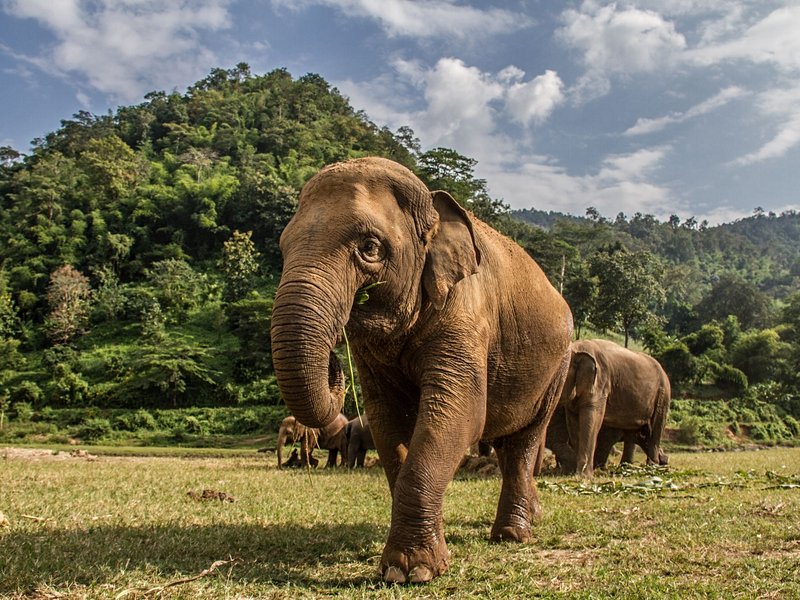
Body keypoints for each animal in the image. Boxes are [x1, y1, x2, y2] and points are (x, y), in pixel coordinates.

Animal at [270, 157, 573, 583]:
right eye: (283, 247)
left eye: (369, 247)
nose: (334, 361)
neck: (431, 204)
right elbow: (388, 420)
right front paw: (407, 566)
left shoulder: (467, 314)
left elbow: (459, 414)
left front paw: (413, 572)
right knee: (506, 440)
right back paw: (531, 516)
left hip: (557, 366)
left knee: (524, 439)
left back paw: (512, 535)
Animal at [557, 339, 671, 478]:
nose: (665, 460)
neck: (578, 347)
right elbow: (573, 423)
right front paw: (575, 473)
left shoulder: (600, 383)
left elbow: (592, 418)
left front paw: (583, 476)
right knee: (632, 432)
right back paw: (626, 468)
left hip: (662, 396)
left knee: (655, 429)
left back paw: (651, 469)